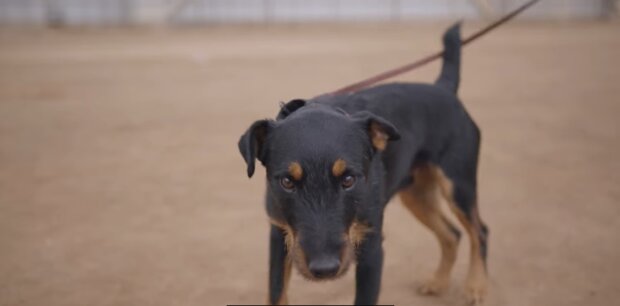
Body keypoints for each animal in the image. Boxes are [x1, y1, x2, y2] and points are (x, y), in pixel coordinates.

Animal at [237, 24, 490, 306]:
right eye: (287, 182)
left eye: (348, 180)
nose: (324, 269)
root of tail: (444, 88)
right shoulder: (278, 236)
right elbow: (276, 292)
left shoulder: (371, 246)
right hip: (417, 194)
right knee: (452, 234)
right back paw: (438, 282)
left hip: (458, 186)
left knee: (480, 232)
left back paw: (476, 287)